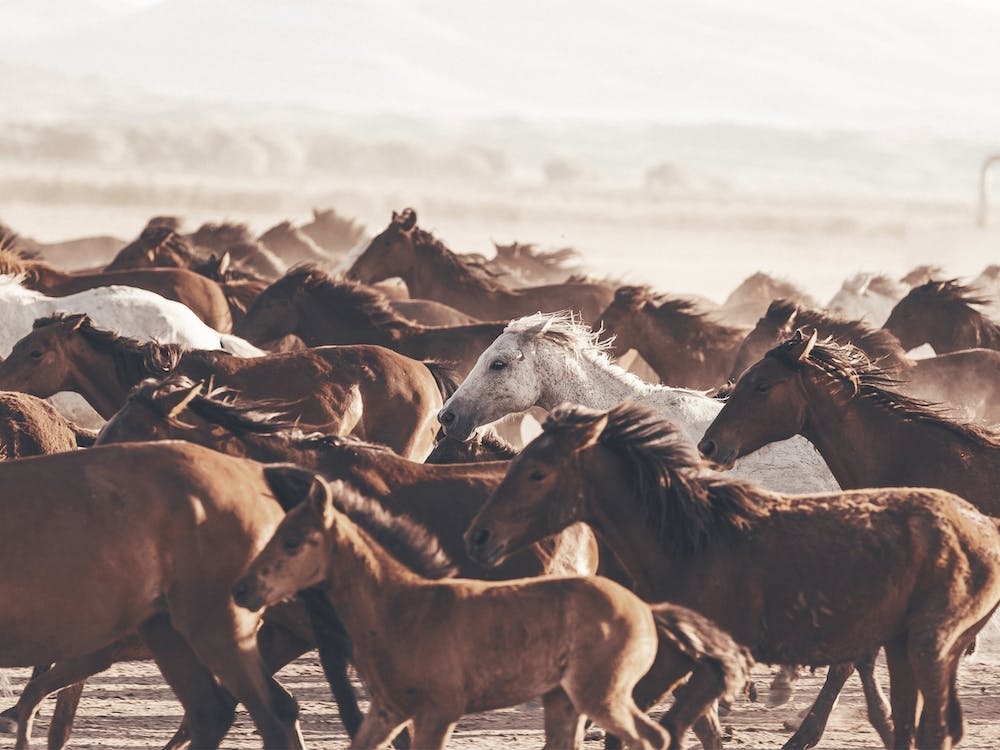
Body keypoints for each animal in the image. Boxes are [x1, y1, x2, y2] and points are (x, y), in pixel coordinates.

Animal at [0, 441, 319, 749]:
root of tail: (255, 472)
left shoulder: (91, 653)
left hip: (216, 627)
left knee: (267, 717)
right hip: (170, 631)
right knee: (214, 712)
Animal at [234, 475, 751, 750]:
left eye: (293, 541)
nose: (243, 589)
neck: (400, 608)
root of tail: (645, 607)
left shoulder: (439, 711)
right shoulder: (387, 710)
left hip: (600, 695)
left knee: (649, 736)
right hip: (565, 700)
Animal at [467, 399, 1000, 750]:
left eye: (538, 472)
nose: (479, 535)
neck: (690, 541)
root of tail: (979, 526)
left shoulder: (714, 660)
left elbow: (669, 729)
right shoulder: (676, 657)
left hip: (930, 643)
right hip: (902, 644)